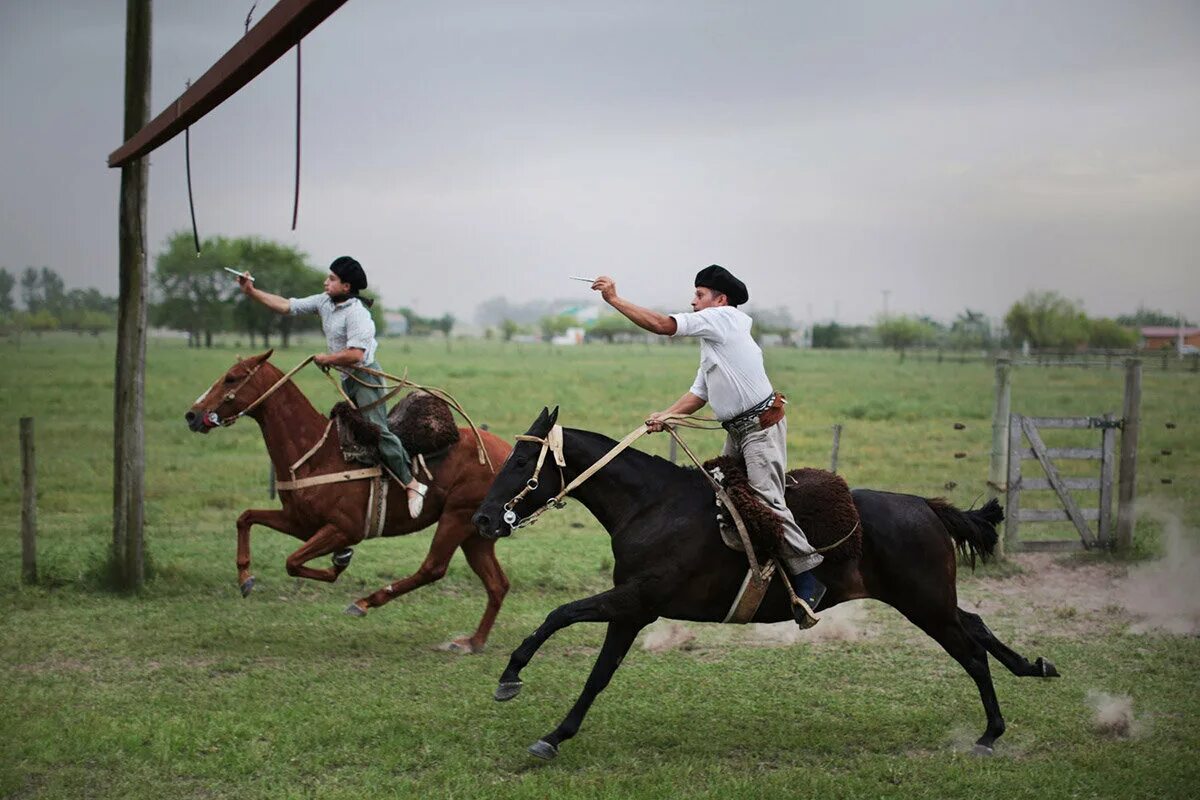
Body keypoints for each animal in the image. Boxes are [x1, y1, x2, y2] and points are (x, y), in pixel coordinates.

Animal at [184, 350, 513, 652]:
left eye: (232, 378)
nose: (192, 414)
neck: (316, 454)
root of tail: (508, 450)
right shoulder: (299, 522)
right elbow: (246, 517)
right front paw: (245, 578)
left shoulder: (345, 529)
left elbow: (293, 561)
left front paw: (338, 563)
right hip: (477, 532)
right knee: (497, 584)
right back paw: (472, 642)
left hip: (457, 517)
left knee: (433, 568)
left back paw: (365, 602)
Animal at [470, 410, 1060, 762]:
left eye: (519, 461)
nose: (483, 519)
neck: (652, 506)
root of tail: (927, 507)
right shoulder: (631, 611)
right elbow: (597, 674)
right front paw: (554, 734)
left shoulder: (636, 601)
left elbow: (560, 616)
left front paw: (511, 678)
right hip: (933, 601)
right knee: (977, 626)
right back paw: (1034, 667)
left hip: (925, 604)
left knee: (971, 653)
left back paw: (990, 734)